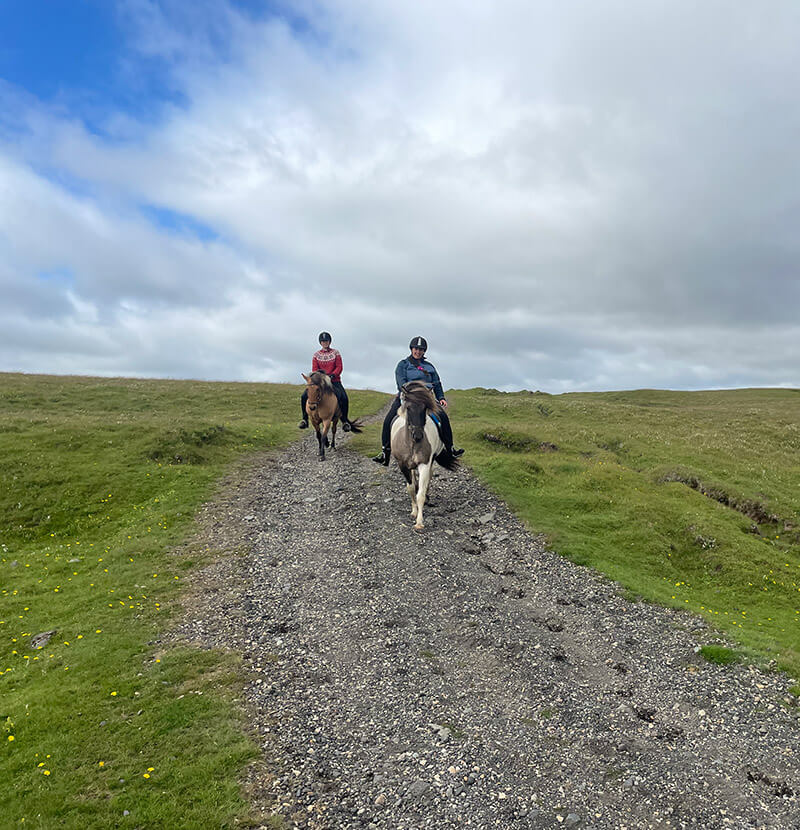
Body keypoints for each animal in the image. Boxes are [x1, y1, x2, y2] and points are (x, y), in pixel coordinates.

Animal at [390, 384, 460, 532]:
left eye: (425, 408)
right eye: (408, 408)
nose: (418, 435)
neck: (411, 443)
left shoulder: (425, 463)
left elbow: (420, 493)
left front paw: (419, 522)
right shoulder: (402, 465)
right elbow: (411, 488)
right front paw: (414, 511)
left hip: (430, 461)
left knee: (428, 478)